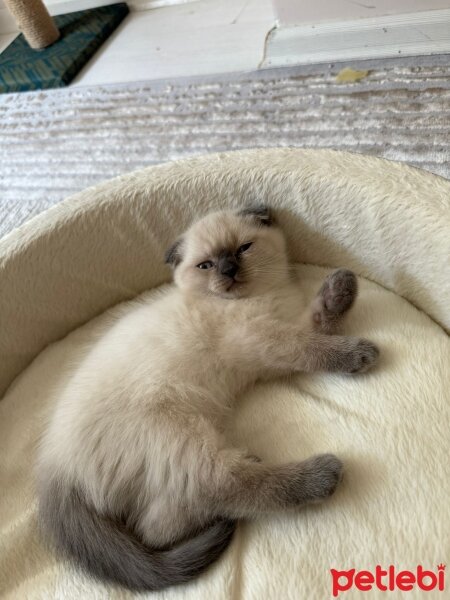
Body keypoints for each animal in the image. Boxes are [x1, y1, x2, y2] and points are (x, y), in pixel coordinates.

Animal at [37, 206, 378, 592]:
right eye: (206, 265)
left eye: (243, 249)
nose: (228, 271)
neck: (263, 295)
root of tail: (54, 465)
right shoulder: (265, 339)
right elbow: (314, 349)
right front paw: (358, 354)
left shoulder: (275, 342)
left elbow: (319, 321)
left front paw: (341, 287)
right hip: (180, 435)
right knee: (205, 497)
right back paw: (318, 476)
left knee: (158, 525)